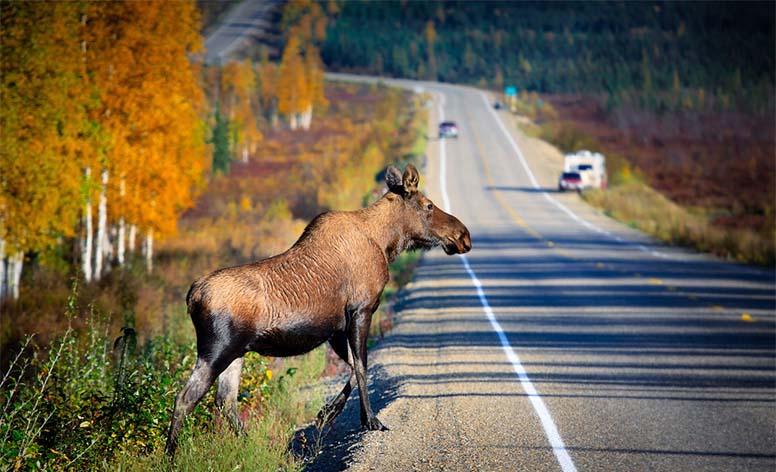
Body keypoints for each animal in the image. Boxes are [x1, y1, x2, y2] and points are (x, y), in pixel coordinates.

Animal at [165, 163, 472, 458]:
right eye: (428, 205)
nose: (463, 236)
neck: (386, 244)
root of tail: (192, 296)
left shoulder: (336, 328)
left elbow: (354, 367)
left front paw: (326, 414)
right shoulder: (361, 310)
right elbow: (362, 366)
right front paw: (371, 420)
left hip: (237, 352)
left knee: (225, 401)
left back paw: (250, 445)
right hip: (217, 350)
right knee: (185, 398)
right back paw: (171, 455)